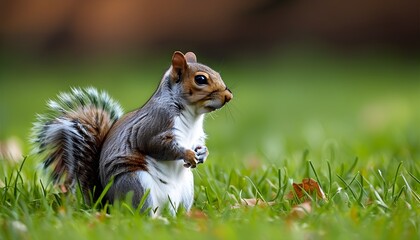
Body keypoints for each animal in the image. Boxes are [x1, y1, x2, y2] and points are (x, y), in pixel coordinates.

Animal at [30, 52, 233, 216]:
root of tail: (106, 204)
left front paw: (202, 153)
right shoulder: (153, 126)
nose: (229, 96)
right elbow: (157, 146)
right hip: (137, 185)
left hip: (186, 189)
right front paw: (188, 154)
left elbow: (198, 144)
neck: (192, 115)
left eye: (218, 74)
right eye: (201, 79)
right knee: (143, 214)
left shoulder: (196, 135)